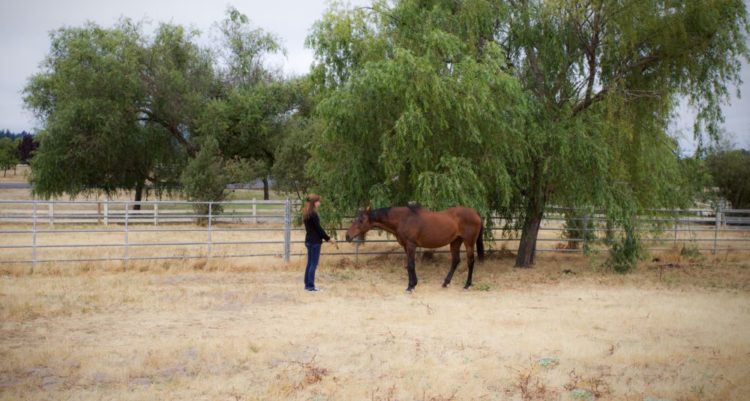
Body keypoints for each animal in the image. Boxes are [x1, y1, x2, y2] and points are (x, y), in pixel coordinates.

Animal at [346, 205, 484, 292]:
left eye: (361, 220)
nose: (348, 236)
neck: (403, 219)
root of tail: (476, 213)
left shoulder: (411, 245)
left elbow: (411, 265)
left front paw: (410, 287)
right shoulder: (406, 246)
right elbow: (409, 265)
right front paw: (412, 284)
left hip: (468, 242)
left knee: (470, 261)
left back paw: (467, 285)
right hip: (455, 242)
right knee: (455, 261)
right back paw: (445, 283)